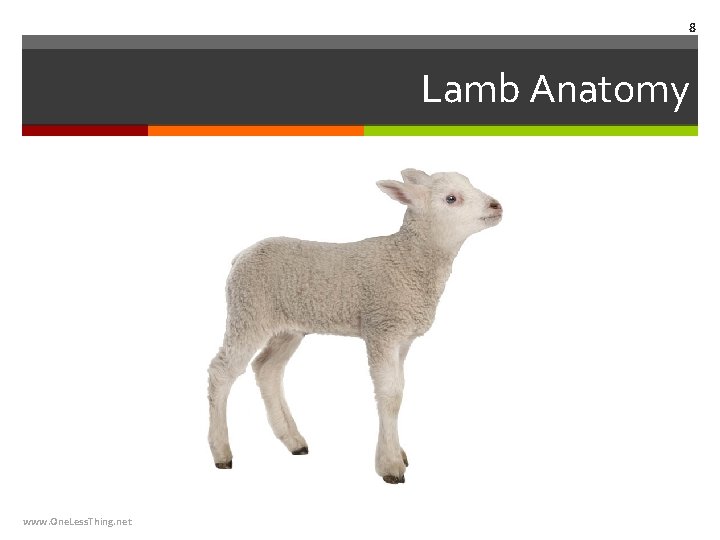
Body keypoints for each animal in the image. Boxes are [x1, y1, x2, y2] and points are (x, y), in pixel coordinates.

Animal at [207, 168, 503, 484]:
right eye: (451, 199)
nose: (496, 206)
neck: (408, 258)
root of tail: (241, 256)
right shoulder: (382, 328)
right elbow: (390, 395)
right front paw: (390, 465)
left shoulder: (402, 337)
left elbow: (398, 391)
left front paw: (397, 452)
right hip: (248, 312)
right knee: (221, 372)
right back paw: (221, 452)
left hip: (287, 327)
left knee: (267, 369)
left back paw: (293, 440)